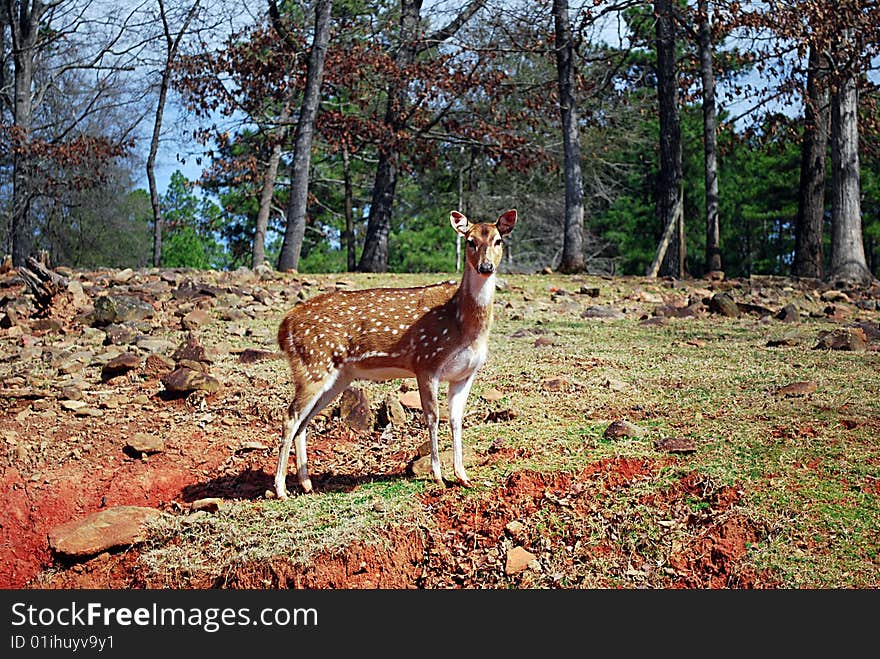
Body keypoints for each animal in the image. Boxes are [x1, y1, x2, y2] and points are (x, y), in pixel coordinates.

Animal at [274, 209, 516, 498]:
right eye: (470, 241)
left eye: (498, 240)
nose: (486, 267)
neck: (462, 323)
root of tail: (285, 325)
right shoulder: (426, 362)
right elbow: (432, 417)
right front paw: (438, 477)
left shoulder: (465, 374)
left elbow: (456, 420)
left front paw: (463, 476)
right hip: (313, 363)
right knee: (290, 417)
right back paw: (280, 489)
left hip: (337, 375)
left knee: (304, 420)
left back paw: (307, 484)